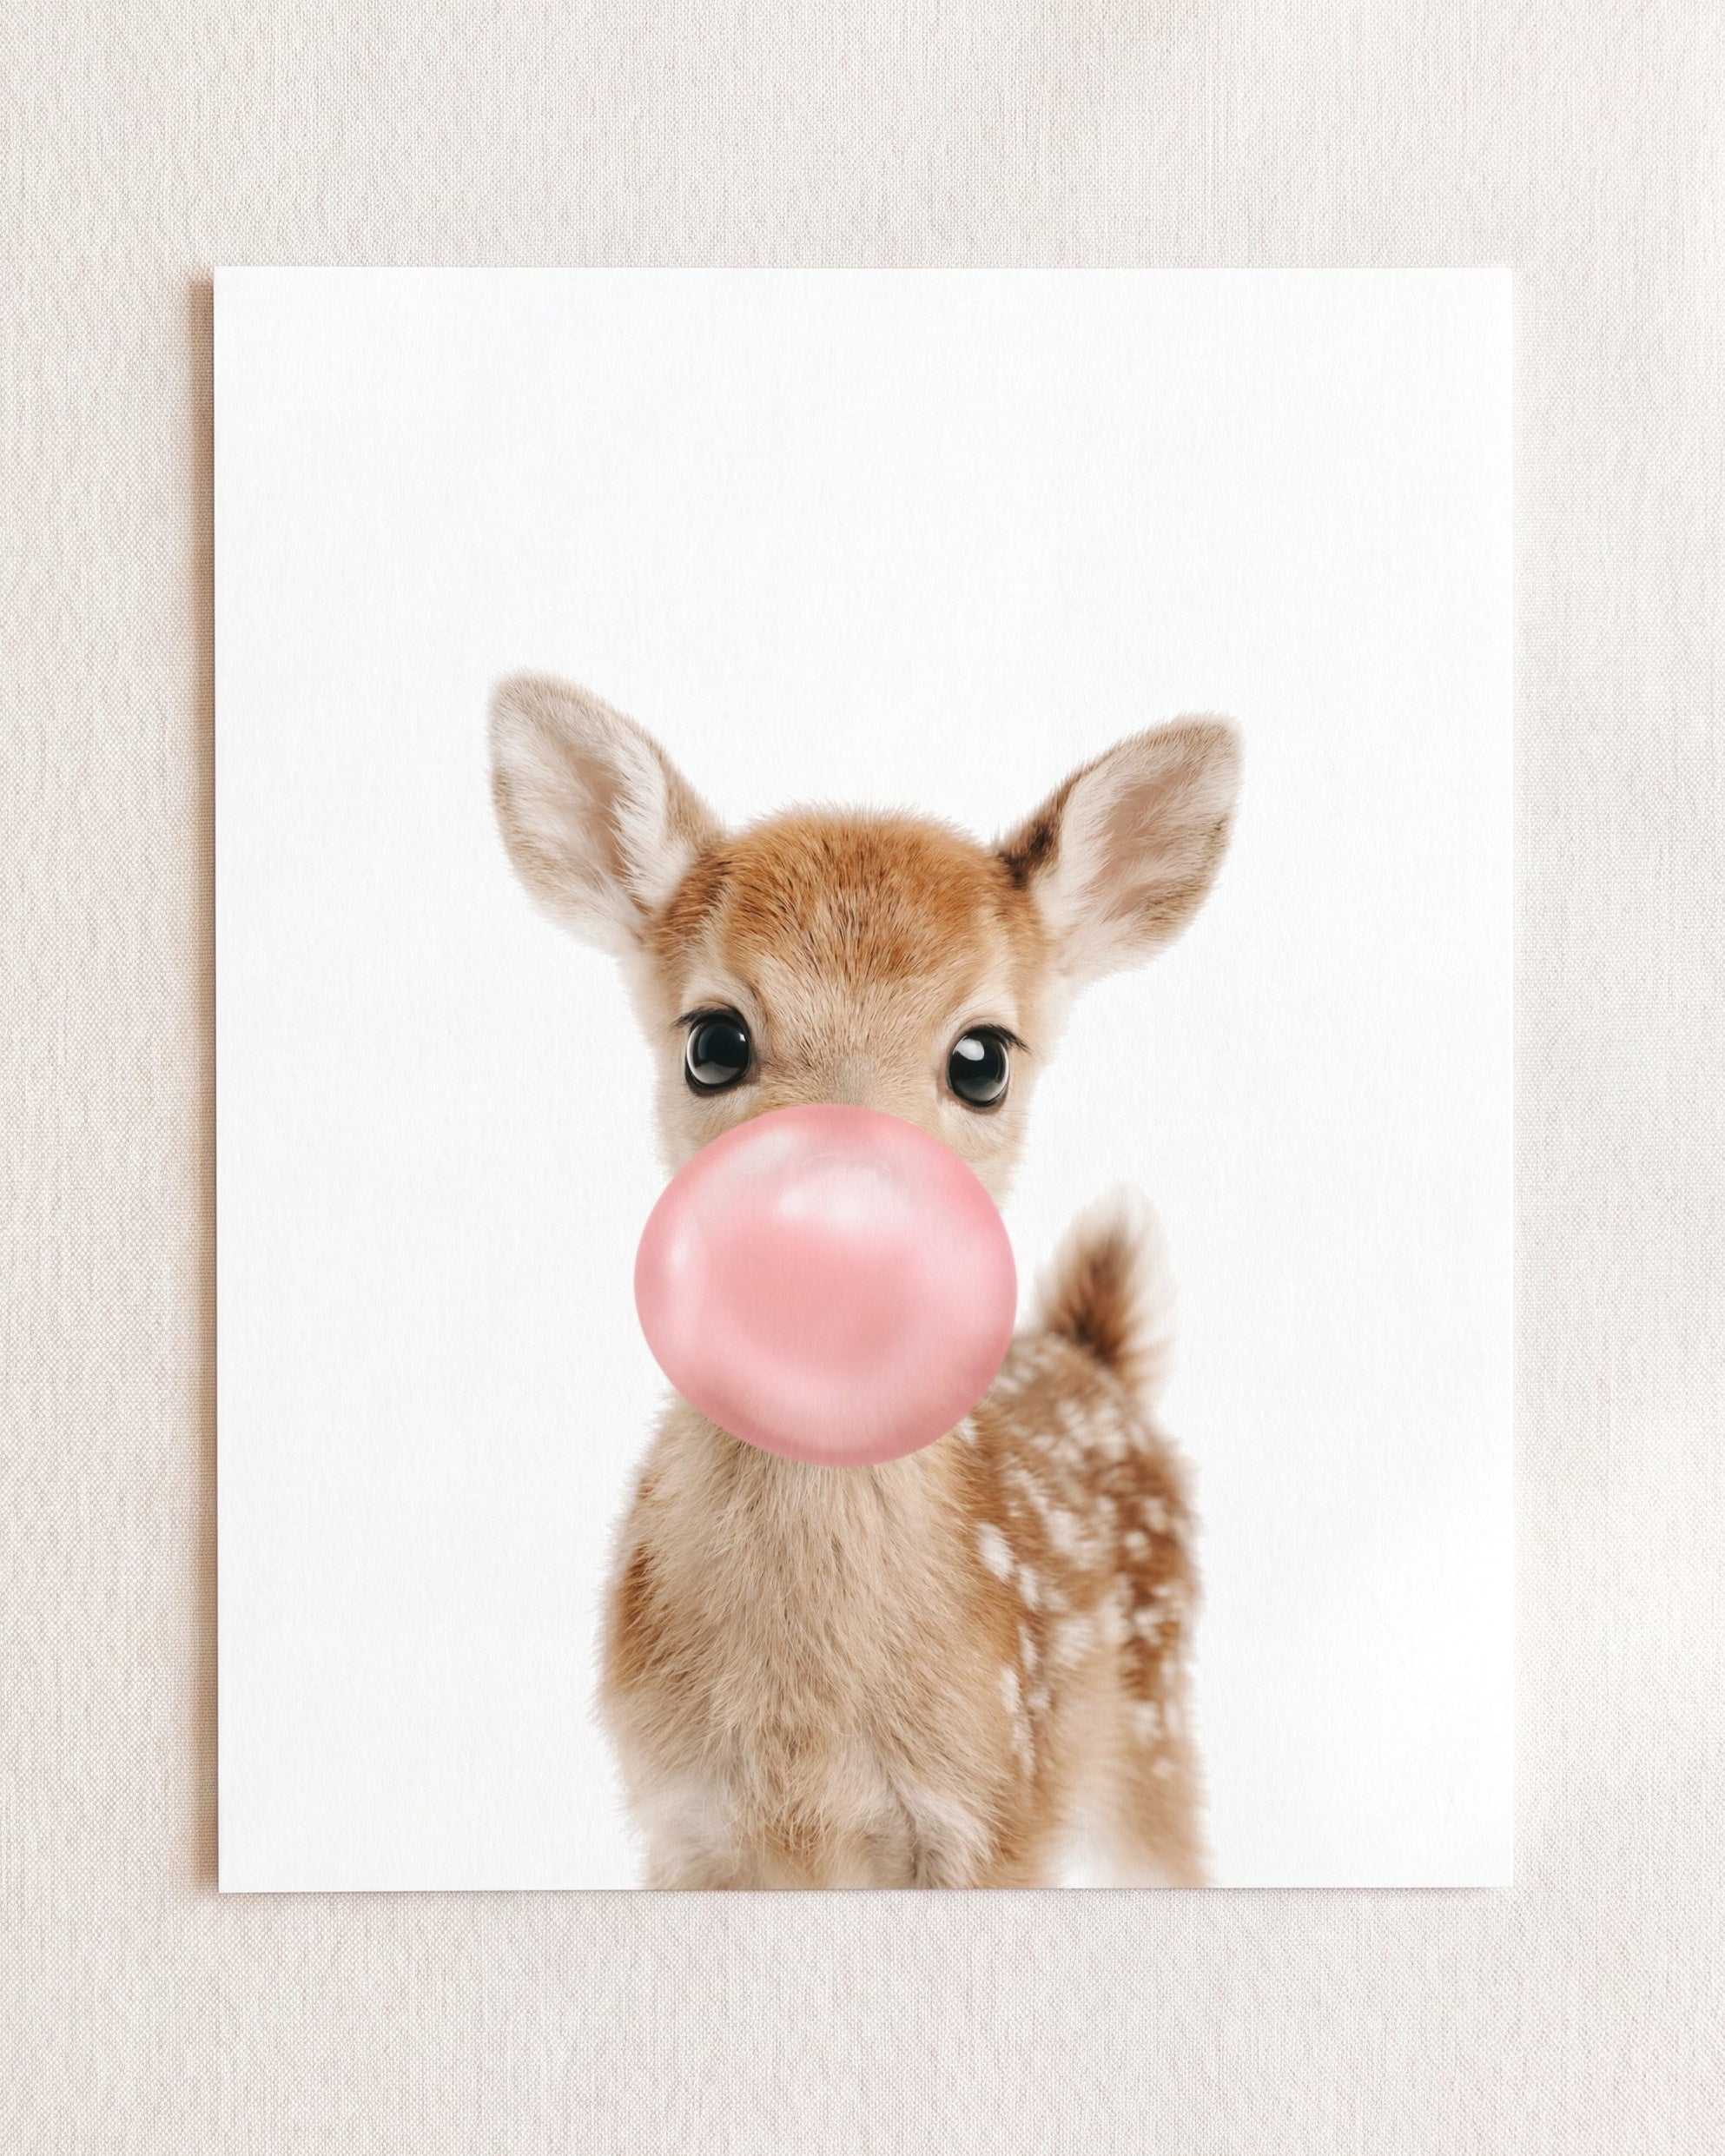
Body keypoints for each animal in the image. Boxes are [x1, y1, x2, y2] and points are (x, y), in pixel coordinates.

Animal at [489, 672, 1240, 1887]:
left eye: (983, 1058)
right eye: (713, 1041)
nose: (842, 1221)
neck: (806, 1747)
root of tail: (1095, 1353)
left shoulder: (995, 1812)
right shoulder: (681, 1823)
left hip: (1152, 1736)